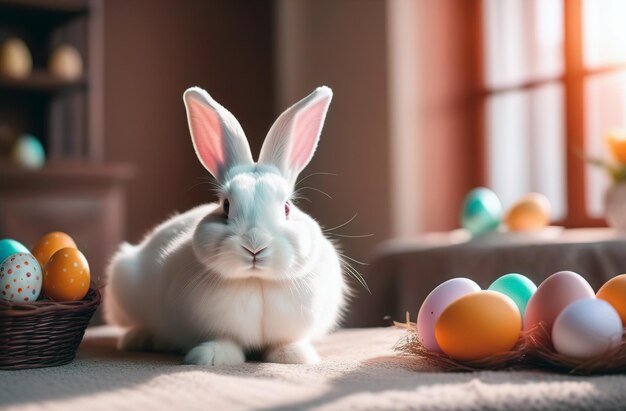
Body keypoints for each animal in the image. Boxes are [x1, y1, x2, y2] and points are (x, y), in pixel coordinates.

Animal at [103, 85, 346, 366]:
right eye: (226, 206)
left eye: (286, 207)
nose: (254, 247)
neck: (256, 281)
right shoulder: (215, 328)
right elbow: (224, 340)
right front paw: (211, 358)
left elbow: (284, 342)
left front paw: (294, 356)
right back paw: (140, 339)